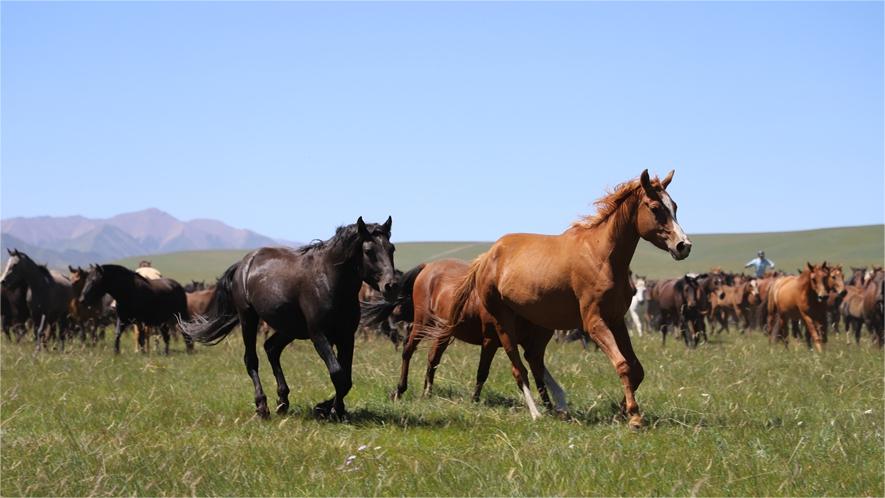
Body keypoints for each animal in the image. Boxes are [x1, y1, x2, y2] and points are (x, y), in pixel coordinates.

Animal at [446, 170, 688, 428]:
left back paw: (557, 405)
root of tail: (486, 257)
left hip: (540, 325)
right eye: (655, 208)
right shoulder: (594, 323)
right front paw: (634, 416)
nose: (683, 245)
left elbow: (636, 368)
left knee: (534, 359)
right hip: (504, 323)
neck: (602, 256)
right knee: (519, 368)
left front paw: (623, 408)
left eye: (674, 206)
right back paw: (537, 412)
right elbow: (623, 364)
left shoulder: (616, 320)